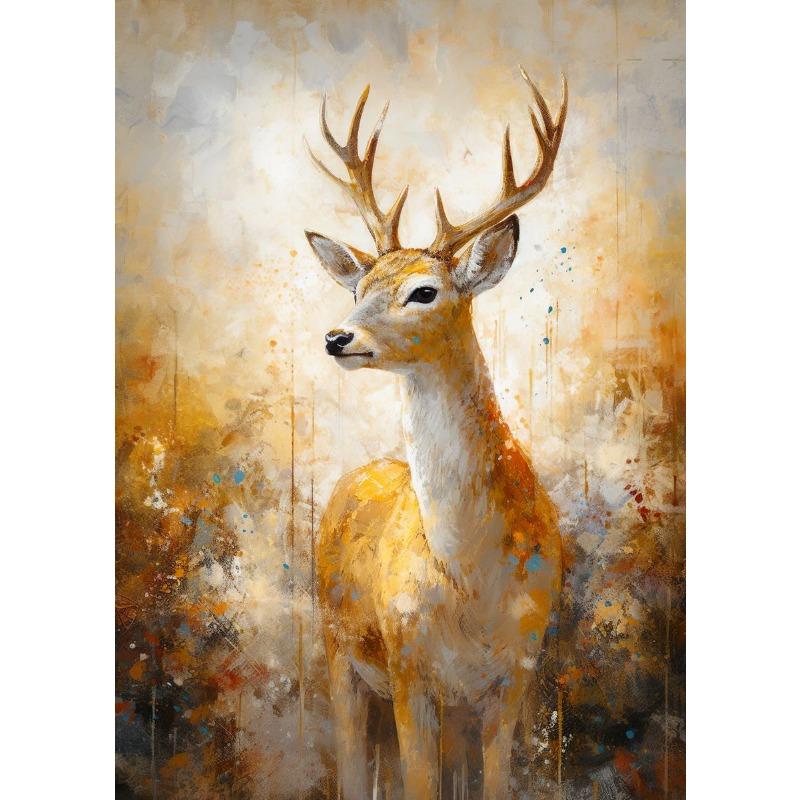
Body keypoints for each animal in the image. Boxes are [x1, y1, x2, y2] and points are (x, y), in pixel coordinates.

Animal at [304, 67, 567, 800]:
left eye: (425, 291)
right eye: (360, 284)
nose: (337, 337)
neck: (469, 583)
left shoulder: (518, 669)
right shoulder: (406, 664)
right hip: (337, 648)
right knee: (353, 765)